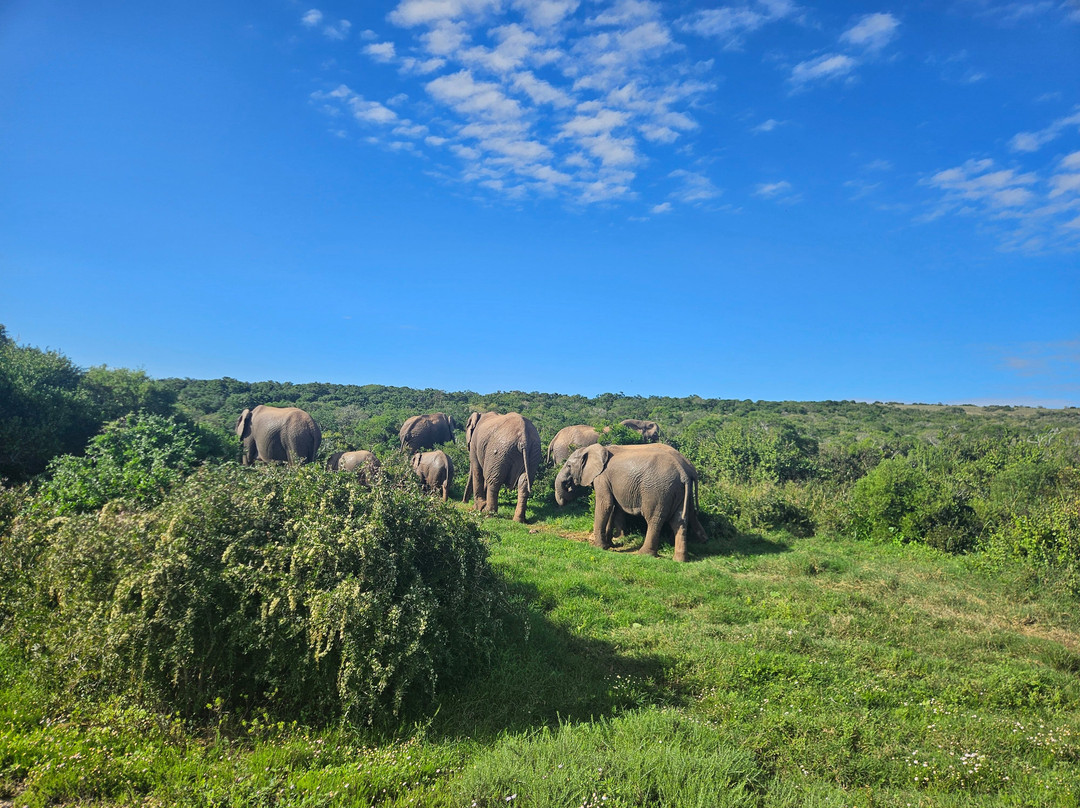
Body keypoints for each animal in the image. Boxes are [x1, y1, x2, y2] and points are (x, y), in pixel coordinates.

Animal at [555, 443, 707, 562]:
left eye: (568, 465)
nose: (568, 487)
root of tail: (684, 473)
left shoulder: (602, 478)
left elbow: (605, 504)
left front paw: (599, 547)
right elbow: (613, 507)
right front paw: (610, 545)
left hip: (658, 491)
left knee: (654, 519)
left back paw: (644, 554)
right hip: (677, 491)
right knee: (679, 520)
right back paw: (680, 559)